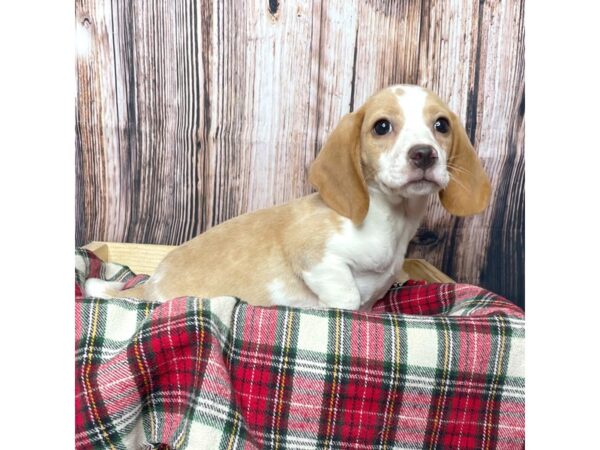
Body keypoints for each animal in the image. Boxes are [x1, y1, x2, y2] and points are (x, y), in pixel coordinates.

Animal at [84, 83, 490, 310]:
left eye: (441, 125)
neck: (392, 219)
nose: (424, 154)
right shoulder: (316, 258)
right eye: (382, 127)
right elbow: (346, 299)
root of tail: (150, 287)